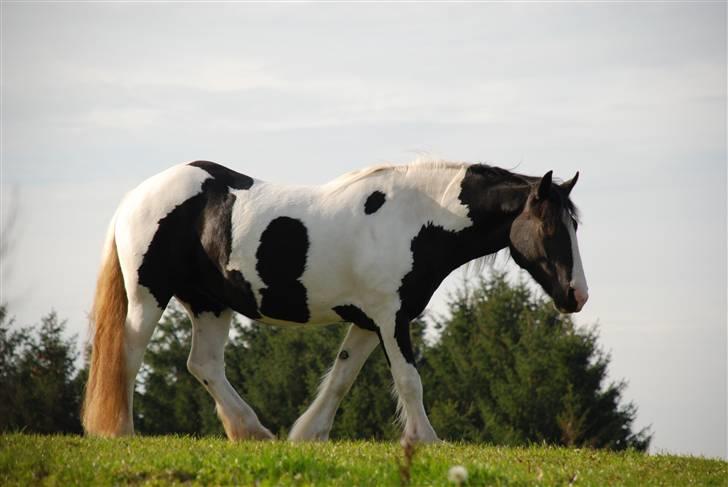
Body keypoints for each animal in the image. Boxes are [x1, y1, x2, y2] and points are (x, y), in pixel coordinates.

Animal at [82, 160, 588, 446]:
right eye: (549, 227)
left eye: (575, 225)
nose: (577, 295)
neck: (418, 218)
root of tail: (134, 197)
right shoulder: (391, 317)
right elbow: (409, 382)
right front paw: (427, 441)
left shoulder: (368, 321)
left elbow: (342, 379)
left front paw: (308, 435)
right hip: (149, 295)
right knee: (127, 356)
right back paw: (122, 432)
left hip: (210, 304)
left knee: (203, 365)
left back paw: (252, 432)